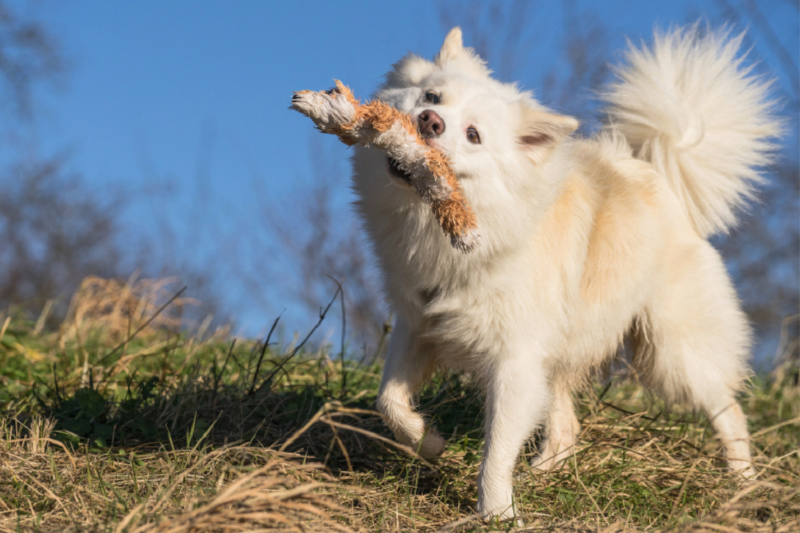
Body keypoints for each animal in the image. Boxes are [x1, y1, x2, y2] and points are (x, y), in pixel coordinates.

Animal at [350, 26, 780, 520]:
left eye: (474, 135)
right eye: (431, 95)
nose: (428, 121)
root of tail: (659, 177)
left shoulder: (514, 361)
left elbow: (496, 451)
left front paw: (496, 515)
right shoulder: (419, 325)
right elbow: (389, 400)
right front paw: (430, 442)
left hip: (673, 354)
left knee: (730, 412)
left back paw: (742, 485)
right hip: (559, 355)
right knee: (566, 429)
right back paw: (539, 477)